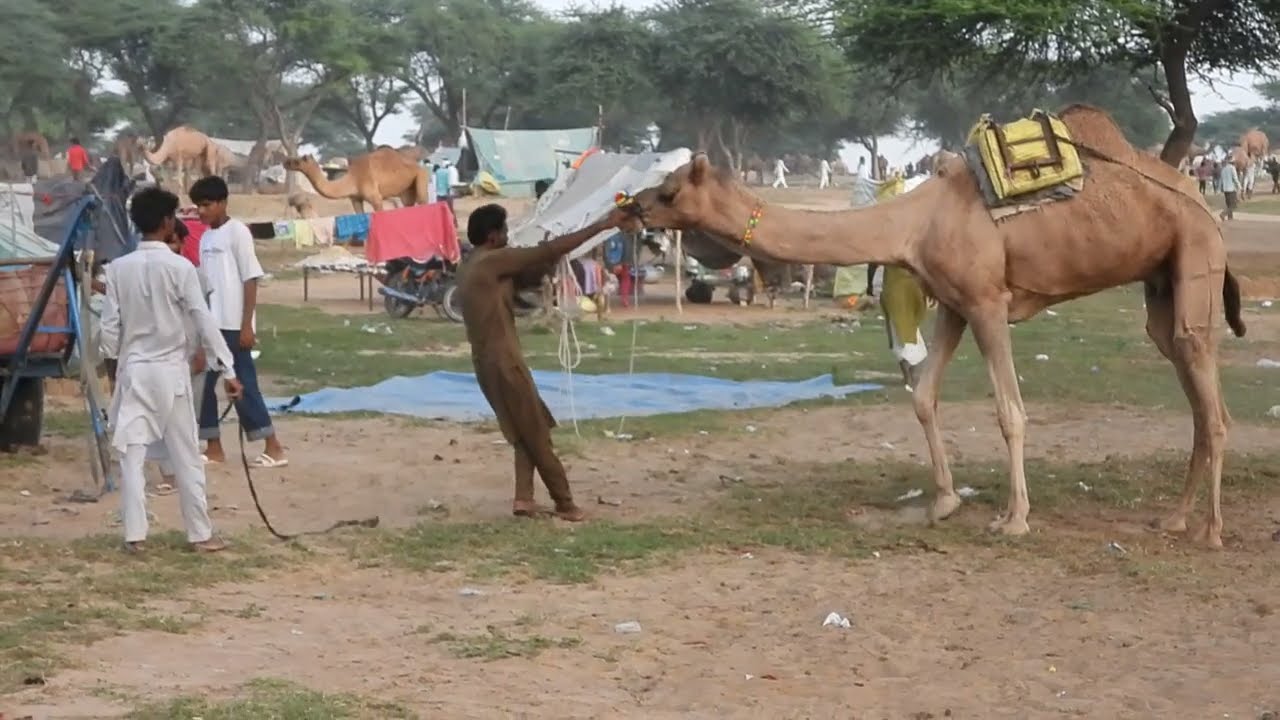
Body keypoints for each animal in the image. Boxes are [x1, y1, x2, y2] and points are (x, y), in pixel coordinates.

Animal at [284, 147, 428, 214]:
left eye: (296, 161)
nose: (285, 162)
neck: (353, 178)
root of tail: (417, 165)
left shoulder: (375, 197)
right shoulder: (355, 198)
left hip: (421, 176)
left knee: (423, 201)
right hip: (406, 191)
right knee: (408, 205)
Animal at [627, 104, 1245, 548]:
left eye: (670, 190)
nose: (630, 206)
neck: (915, 221)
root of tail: (1203, 205)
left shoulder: (988, 301)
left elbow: (1010, 412)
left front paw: (1014, 519)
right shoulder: (953, 303)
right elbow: (923, 396)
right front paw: (943, 503)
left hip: (1196, 248)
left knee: (1205, 386)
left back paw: (1212, 531)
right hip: (1161, 279)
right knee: (1188, 380)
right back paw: (1173, 518)